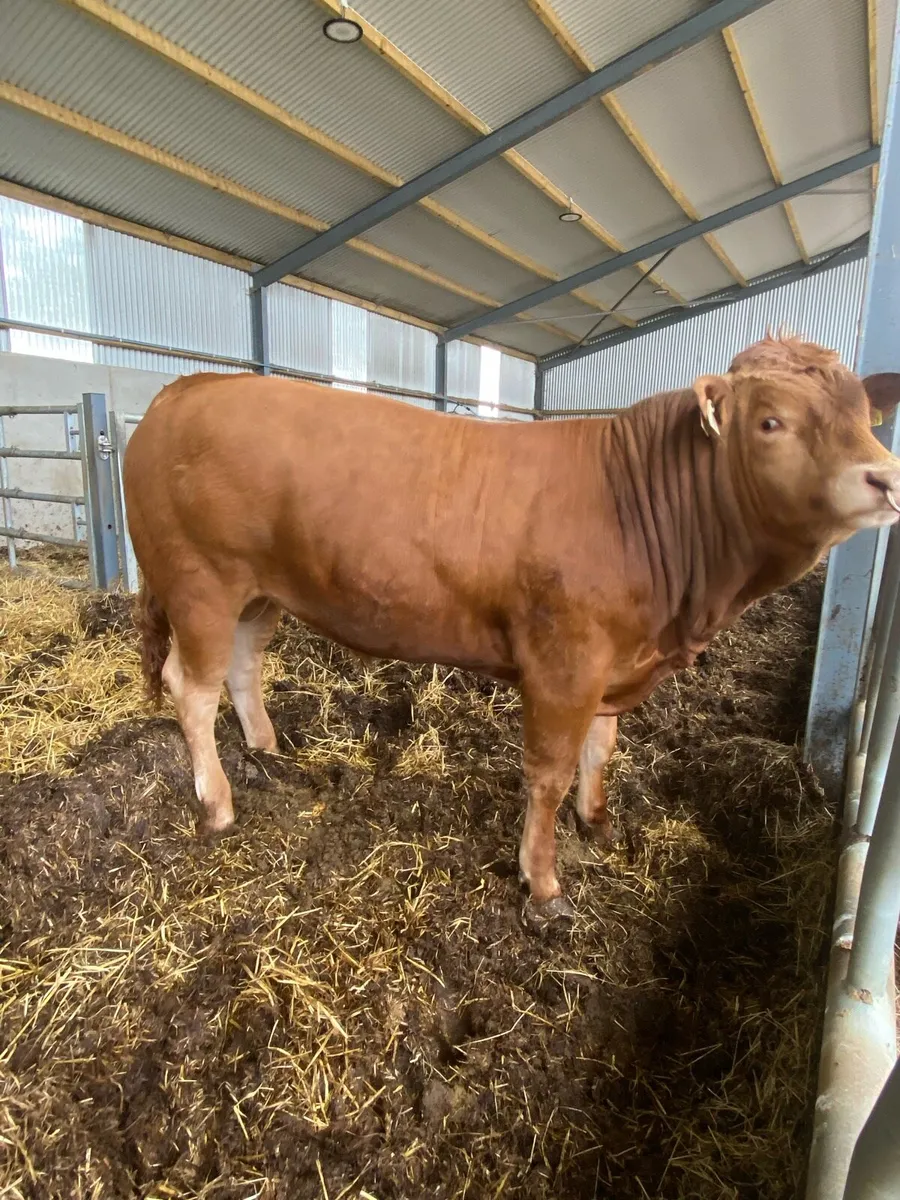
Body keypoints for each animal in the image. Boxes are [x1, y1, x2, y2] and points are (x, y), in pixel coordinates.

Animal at [123, 335, 900, 924]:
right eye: (771, 422)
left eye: (868, 416)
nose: (886, 478)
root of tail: (186, 387)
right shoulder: (566, 659)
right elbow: (549, 771)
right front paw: (544, 883)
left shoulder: (613, 658)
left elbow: (601, 749)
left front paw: (599, 822)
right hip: (201, 582)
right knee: (190, 687)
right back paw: (218, 805)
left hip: (260, 593)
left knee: (243, 667)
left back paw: (271, 758)